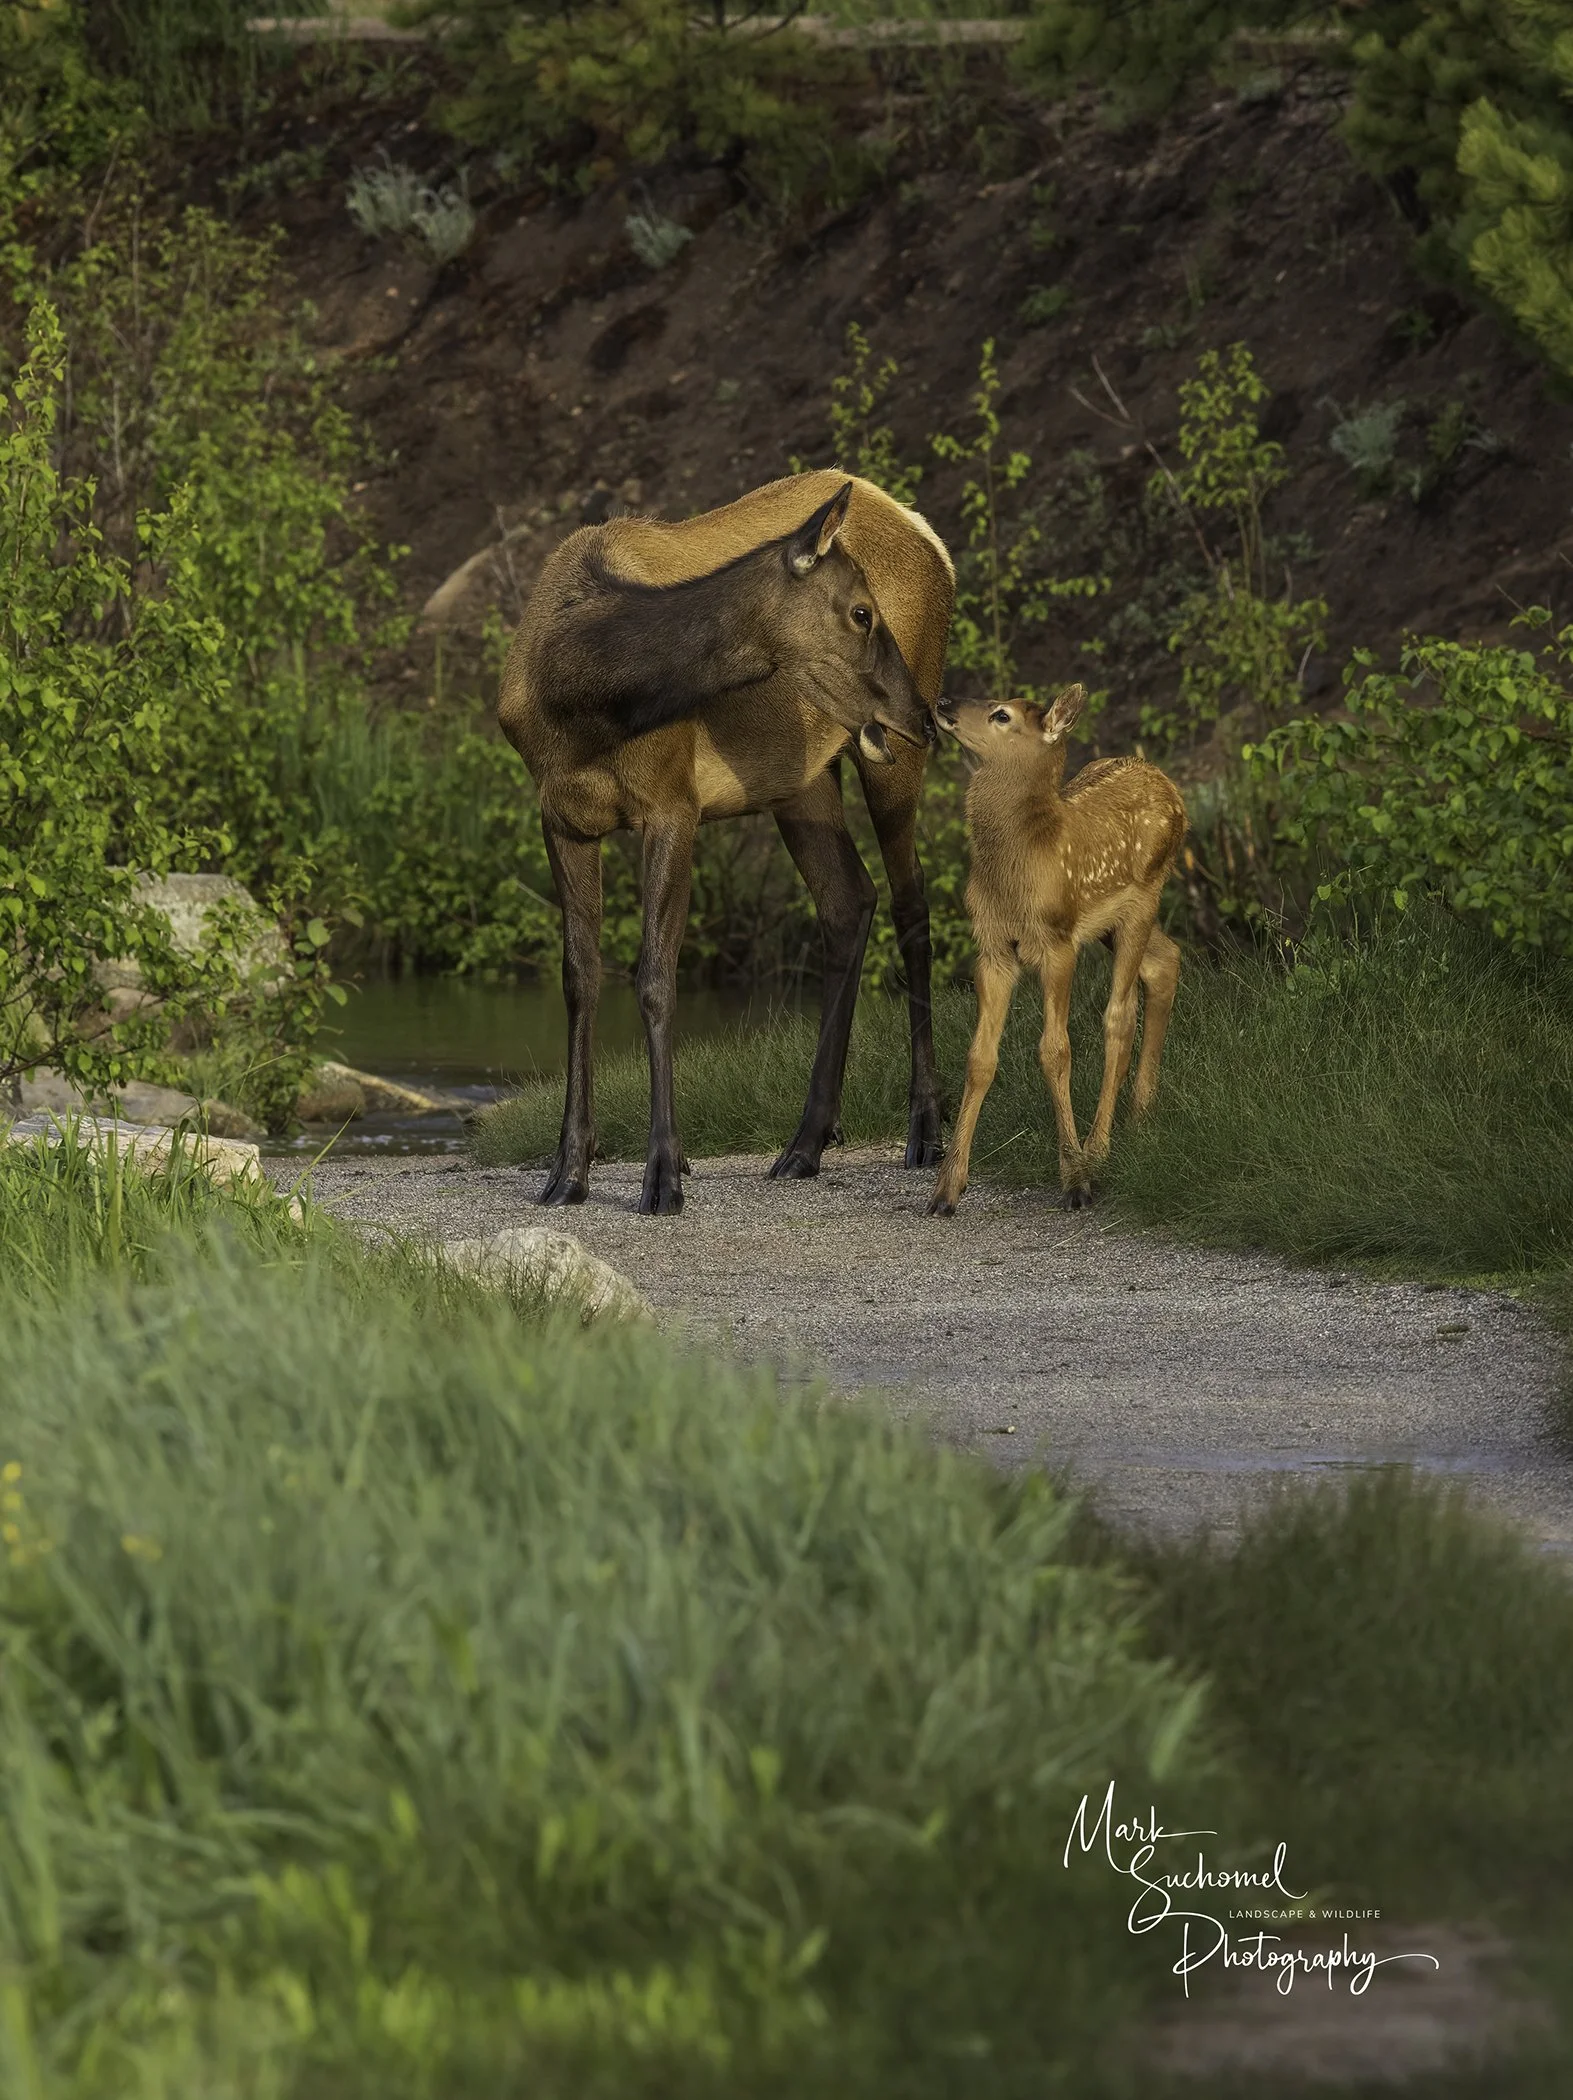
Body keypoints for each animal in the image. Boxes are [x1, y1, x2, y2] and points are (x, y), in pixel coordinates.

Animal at [498, 470, 955, 1215]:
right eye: (860, 613)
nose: (923, 714)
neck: (581, 698)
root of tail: (927, 533)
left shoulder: (672, 802)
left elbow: (655, 978)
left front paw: (662, 1173)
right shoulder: (558, 815)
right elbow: (579, 977)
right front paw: (568, 1169)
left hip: (888, 757)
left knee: (912, 905)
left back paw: (926, 1129)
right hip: (801, 780)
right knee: (848, 900)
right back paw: (806, 1142)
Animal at [926, 683, 1186, 1217]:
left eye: (1001, 715)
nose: (943, 702)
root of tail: (1170, 787)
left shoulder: (1057, 941)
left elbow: (1055, 1050)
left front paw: (1074, 1179)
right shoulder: (993, 946)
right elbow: (980, 1058)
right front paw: (946, 1188)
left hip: (1142, 901)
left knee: (1119, 1016)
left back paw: (1099, 1148)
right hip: (1112, 924)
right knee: (1165, 961)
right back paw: (1139, 1119)